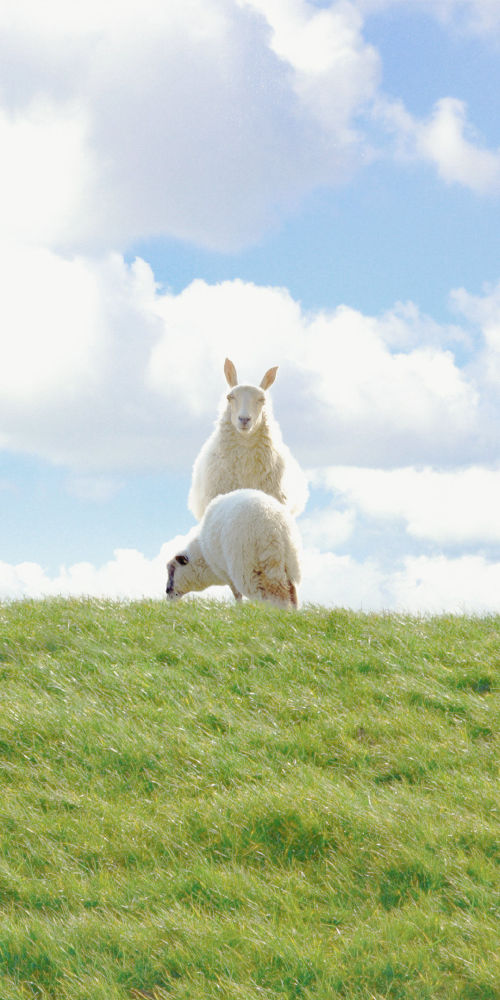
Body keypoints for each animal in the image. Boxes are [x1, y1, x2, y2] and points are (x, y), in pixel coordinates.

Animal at [167, 486, 300, 604]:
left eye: (172, 570)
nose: (167, 593)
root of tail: (274, 520)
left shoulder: (228, 574)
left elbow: (237, 595)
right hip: (289, 562)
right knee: (291, 591)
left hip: (251, 567)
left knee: (273, 593)